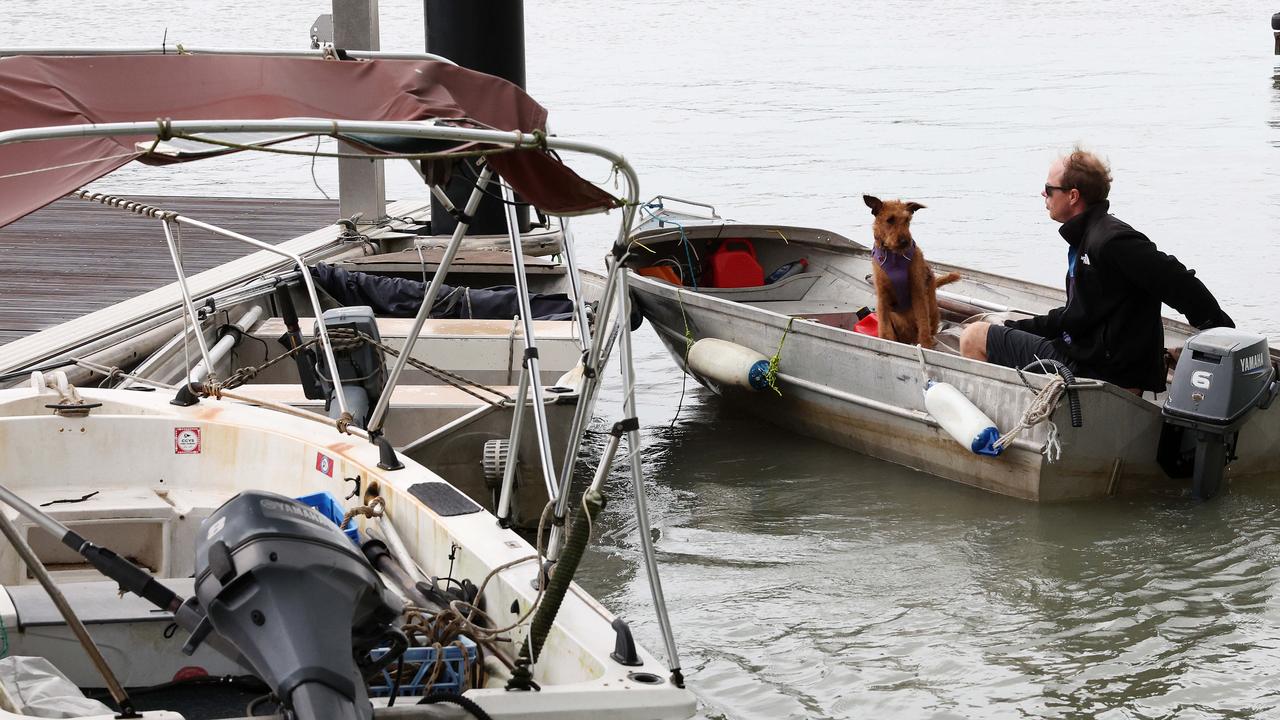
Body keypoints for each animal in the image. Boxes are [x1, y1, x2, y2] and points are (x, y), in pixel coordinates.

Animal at [865, 193, 957, 345]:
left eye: (907, 219)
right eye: (890, 219)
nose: (904, 241)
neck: (894, 258)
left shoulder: (917, 290)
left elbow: (923, 322)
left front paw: (926, 344)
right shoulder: (882, 296)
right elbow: (884, 329)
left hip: (933, 309)